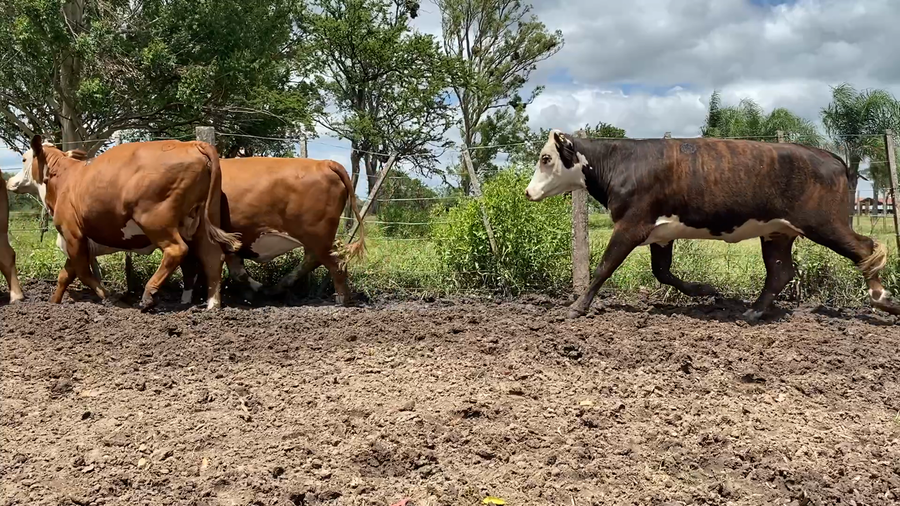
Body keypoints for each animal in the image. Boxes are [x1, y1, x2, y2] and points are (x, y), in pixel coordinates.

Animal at [22, 135, 241, 310]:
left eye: (24, 158)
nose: (14, 181)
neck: (65, 179)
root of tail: (191, 144)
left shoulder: (72, 234)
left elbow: (82, 272)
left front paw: (108, 297)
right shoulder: (75, 241)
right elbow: (65, 275)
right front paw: (54, 302)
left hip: (155, 221)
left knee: (176, 250)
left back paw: (148, 295)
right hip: (202, 221)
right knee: (212, 257)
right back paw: (212, 305)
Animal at [177, 156, 366, 306]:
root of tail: (324, 163)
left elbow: (195, 267)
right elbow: (237, 272)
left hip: (318, 237)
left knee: (336, 264)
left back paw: (341, 300)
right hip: (314, 239)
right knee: (313, 260)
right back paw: (275, 288)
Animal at [525, 130, 900, 321]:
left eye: (545, 158)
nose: (528, 192)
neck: (620, 162)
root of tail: (830, 156)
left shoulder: (632, 224)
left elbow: (605, 266)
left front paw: (577, 306)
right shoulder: (661, 233)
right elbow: (662, 272)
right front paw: (705, 290)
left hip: (824, 223)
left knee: (866, 249)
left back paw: (883, 299)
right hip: (776, 231)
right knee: (780, 272)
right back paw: (752, 312)